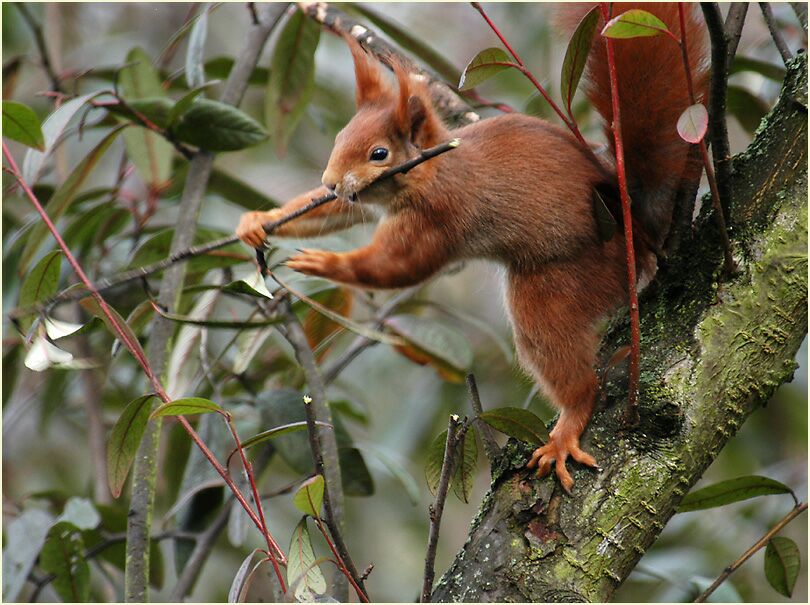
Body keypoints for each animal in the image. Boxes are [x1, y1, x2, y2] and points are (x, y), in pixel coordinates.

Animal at [237, 3, 708, 492]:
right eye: (338, 141)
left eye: (379, 154)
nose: (331, 180)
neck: (433, 170)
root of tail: (638, 237)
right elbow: (332, 211)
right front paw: (261, 220)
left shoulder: (441, 213)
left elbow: (398, 266)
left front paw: (325, 262)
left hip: (565, 281)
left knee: (565, 362)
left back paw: (566, 427)